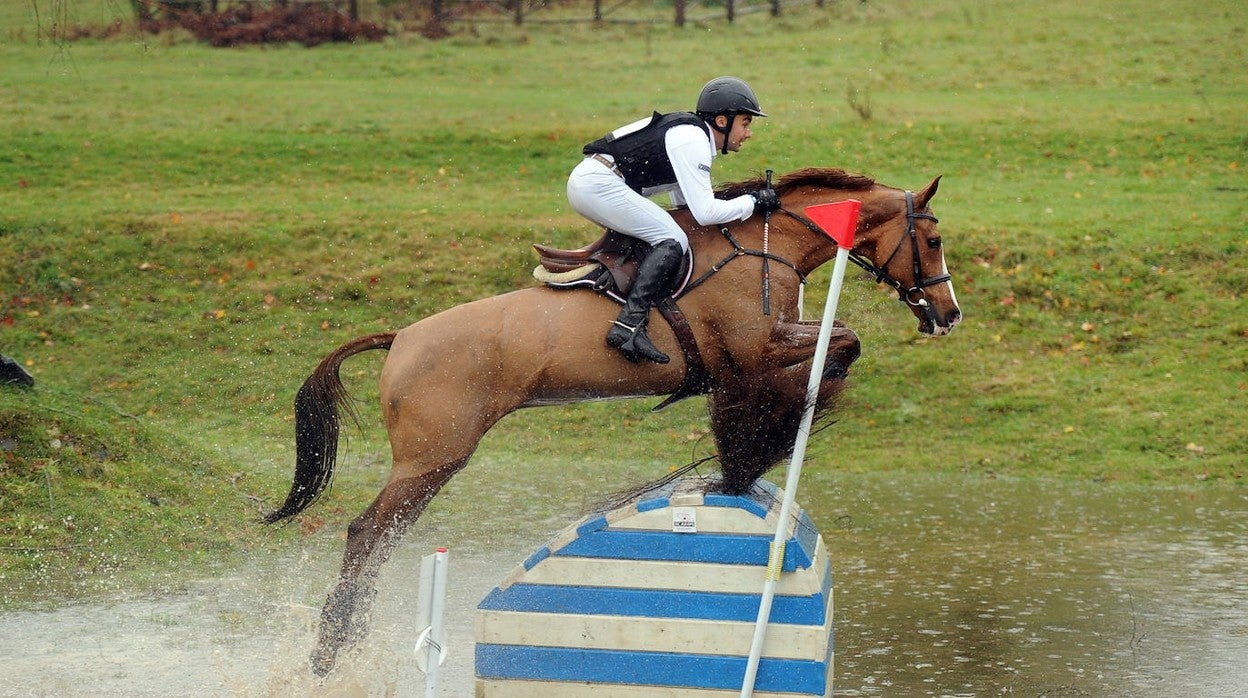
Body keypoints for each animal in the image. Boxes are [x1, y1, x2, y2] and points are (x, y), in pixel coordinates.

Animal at [265, 166, 963, 674]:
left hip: (431, 461)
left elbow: (840, 343)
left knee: (381, 537)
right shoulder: (756, 347)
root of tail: (402, 337)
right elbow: (839, 343)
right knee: (366, 534)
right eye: (931, 241)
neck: (765, 248)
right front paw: (767, 426)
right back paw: (330, 650)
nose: (949, 314)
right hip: (432, 457)